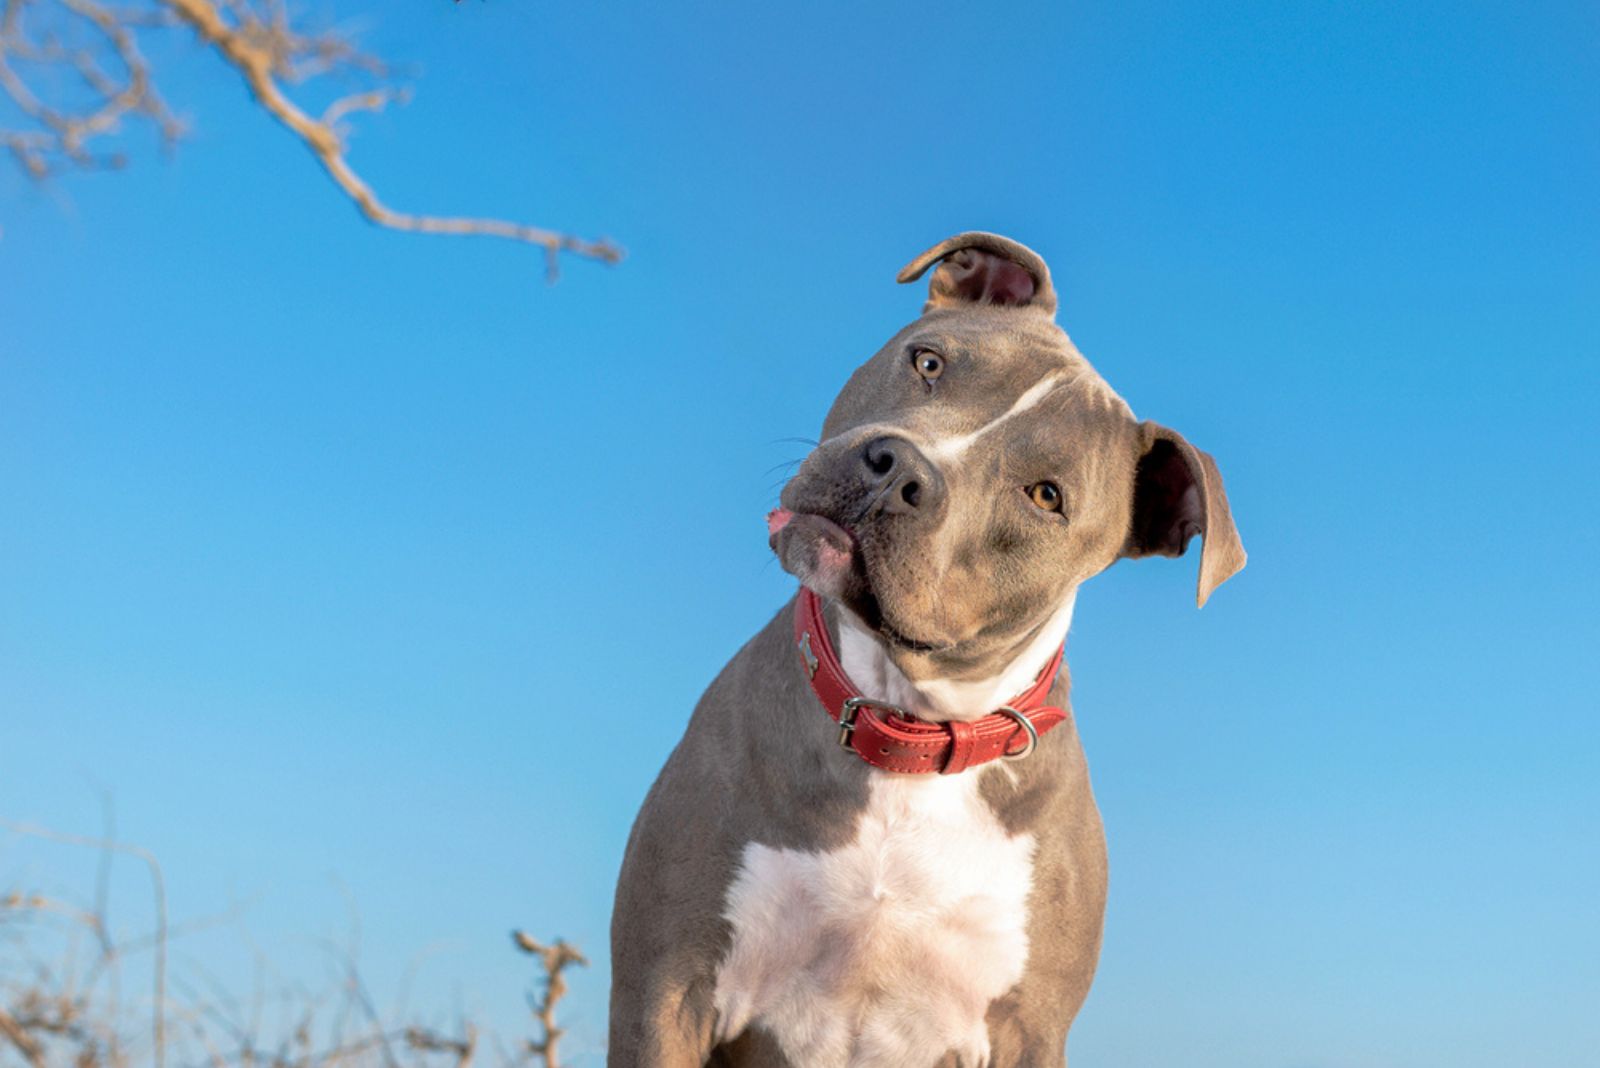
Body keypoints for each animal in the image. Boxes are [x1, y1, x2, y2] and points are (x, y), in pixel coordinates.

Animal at [604, 233, 1241, 1068]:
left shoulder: (1028, 1034)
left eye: (1046, 496)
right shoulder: (666, 988)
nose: (899, 469)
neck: (907, 721)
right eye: (928, 362)